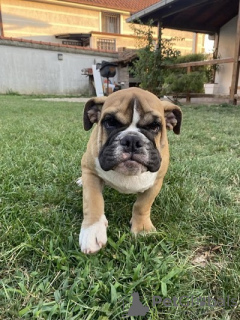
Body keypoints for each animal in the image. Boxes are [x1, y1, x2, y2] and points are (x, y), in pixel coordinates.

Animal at [79, 86, 182, 254]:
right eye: (110, 122)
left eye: (154, 126)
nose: (132, 140)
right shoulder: (90, 172)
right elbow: (93, 200)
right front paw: (92, 230)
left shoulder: (156, 182)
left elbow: (142, 205)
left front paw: (142, 229)